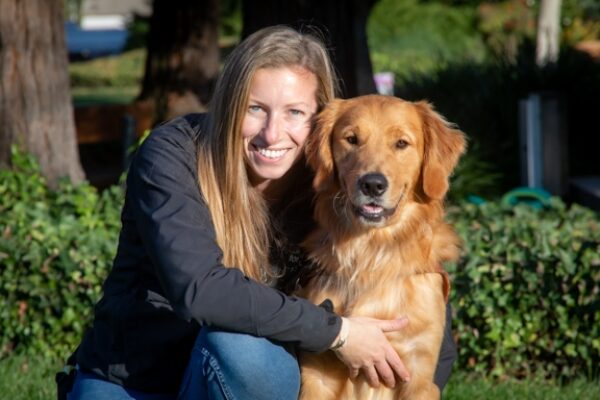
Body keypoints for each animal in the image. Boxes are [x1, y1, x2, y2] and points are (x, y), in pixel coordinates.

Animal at [298, 94, 464, 400]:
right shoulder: (316, 375)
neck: (372, 253)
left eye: (401, 143)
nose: (372, 184)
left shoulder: (418, 373)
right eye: (351, 139)